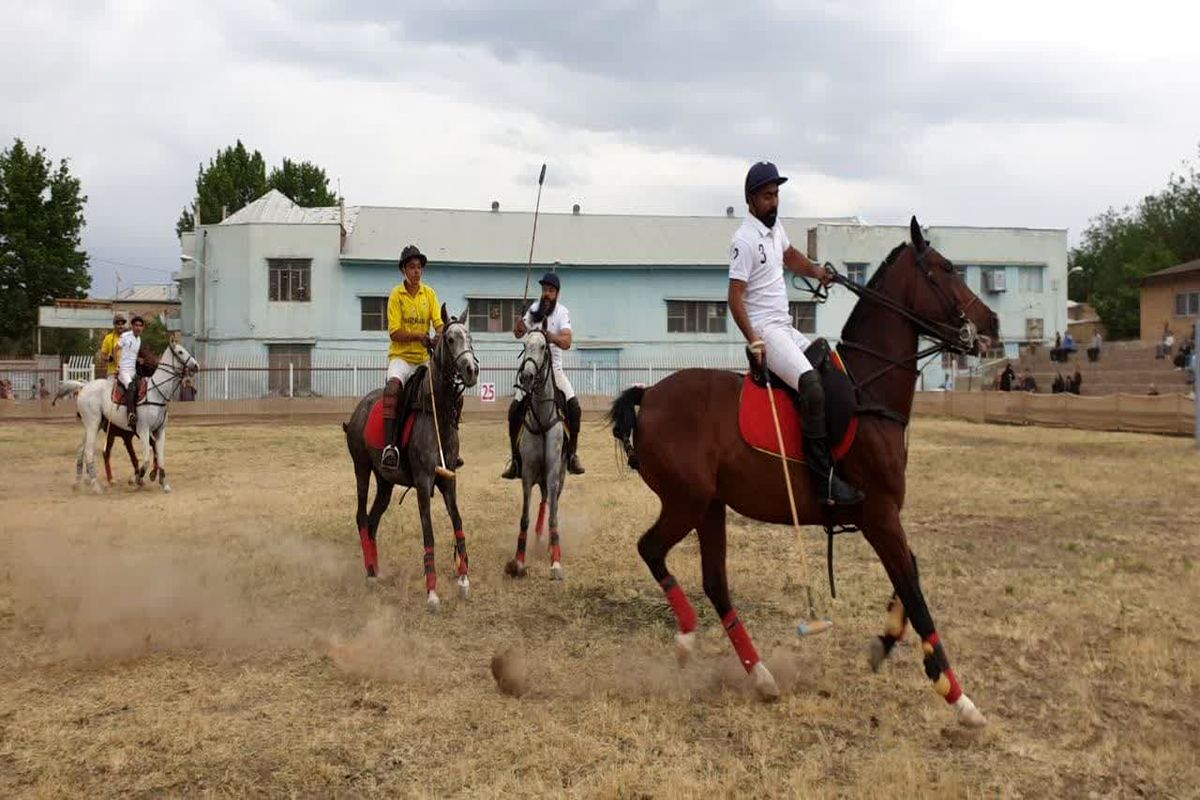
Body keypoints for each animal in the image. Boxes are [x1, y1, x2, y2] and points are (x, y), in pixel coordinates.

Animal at [70, 345, 196, 494]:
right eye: (180, 352)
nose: (196, 365)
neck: (156, 394)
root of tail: (83, 387)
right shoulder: (143, 430)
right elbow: (146, 458)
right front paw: (136, 479)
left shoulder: (160, 431)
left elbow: (160, 456)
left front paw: (163, 483)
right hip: (93, 423)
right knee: (89, 451)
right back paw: (96, 486)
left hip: (94, 424)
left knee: (81, 449)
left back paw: (78, 482)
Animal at [343, 303, 477, 609]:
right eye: (449, 339)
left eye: (469, 337)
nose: (472, 369)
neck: (437, 411)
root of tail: (358, 410)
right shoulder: (424, 482)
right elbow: (429, 534)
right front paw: (432, 593)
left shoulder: (449, 480)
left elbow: (458, 522)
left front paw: (463, 579)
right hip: (361, 468)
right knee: (361, 516)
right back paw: (370, 574)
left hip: (385, 481)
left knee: (373, 519)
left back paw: (375, 569)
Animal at [614, 217, 998, 724]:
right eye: (947, 268)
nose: (992, 325)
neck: (868, 393)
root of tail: (649, 394)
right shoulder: (879, 515)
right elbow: (915, 593)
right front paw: (959, 698)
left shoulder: (885, 517)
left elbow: (908, 575)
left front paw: (885, 642)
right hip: (686, 500)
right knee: (651, 549)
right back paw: (687, 636)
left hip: (710, 505)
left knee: (715, 581)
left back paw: (761, 677)